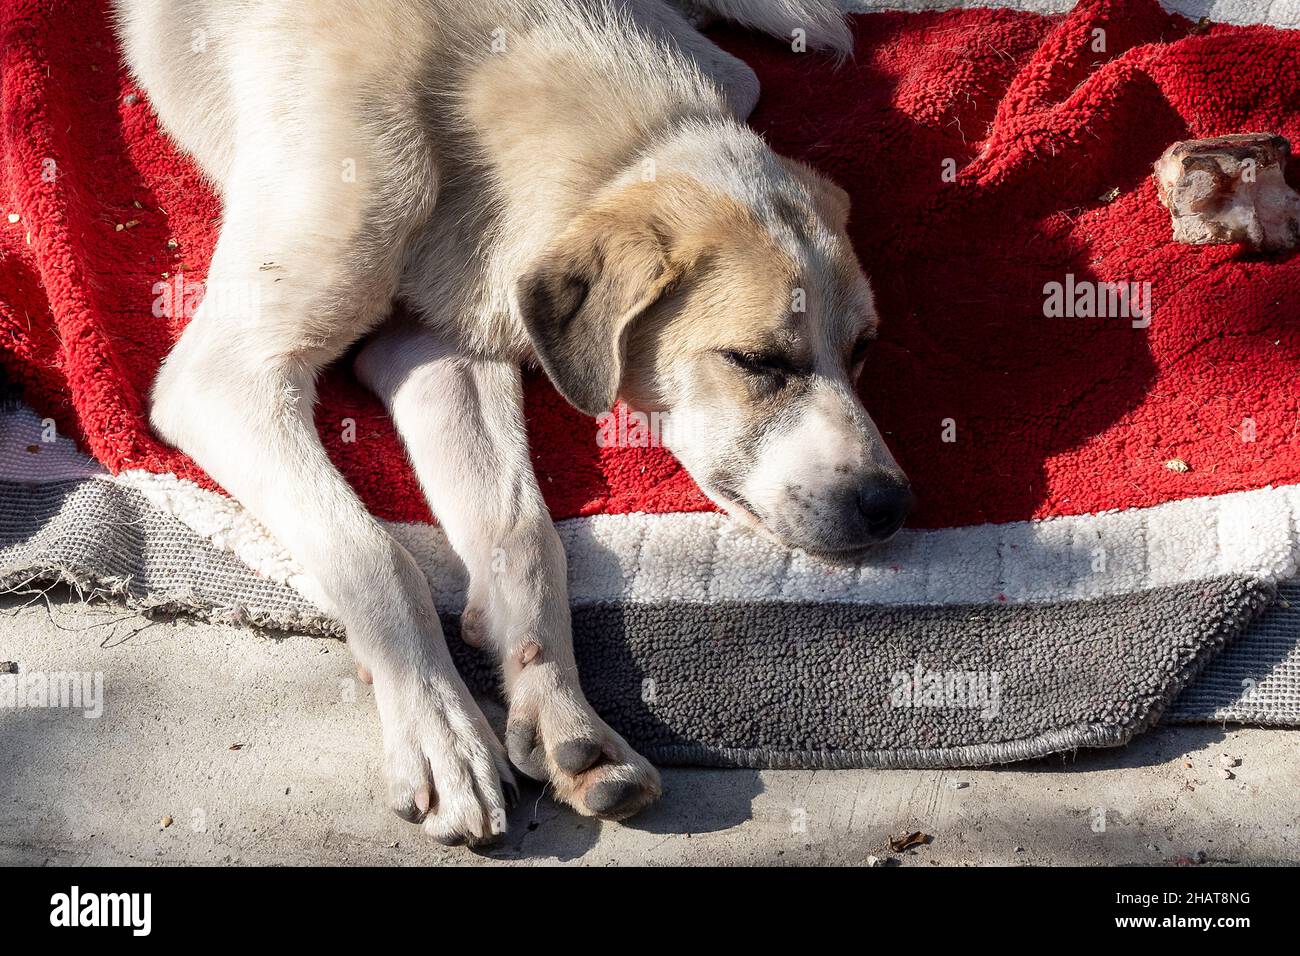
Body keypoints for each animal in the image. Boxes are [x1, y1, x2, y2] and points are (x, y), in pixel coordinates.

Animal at [111, 0, 909, 848]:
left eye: (864, 349)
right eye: (756, 361)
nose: (891, 505)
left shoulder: (440, 347)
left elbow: (525, 536)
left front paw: (558, 708)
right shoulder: (225, 378)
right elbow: (376, 553)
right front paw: (438, 729)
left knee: (739, 69)